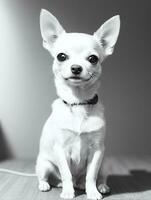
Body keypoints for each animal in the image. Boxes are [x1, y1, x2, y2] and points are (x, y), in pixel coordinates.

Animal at [35, 9, 120, 200]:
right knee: (50, 176)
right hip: (44, 164)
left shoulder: (97, 151)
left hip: (105, 161)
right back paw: (48, 184)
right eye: (61, 56)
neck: (79, 102)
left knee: (96, 177)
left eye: (93, 59)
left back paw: (99, 186)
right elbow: (66, 173)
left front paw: (93, 192)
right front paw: (68, 192)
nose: (76, 67)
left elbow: (91, 175)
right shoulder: (60, 149)